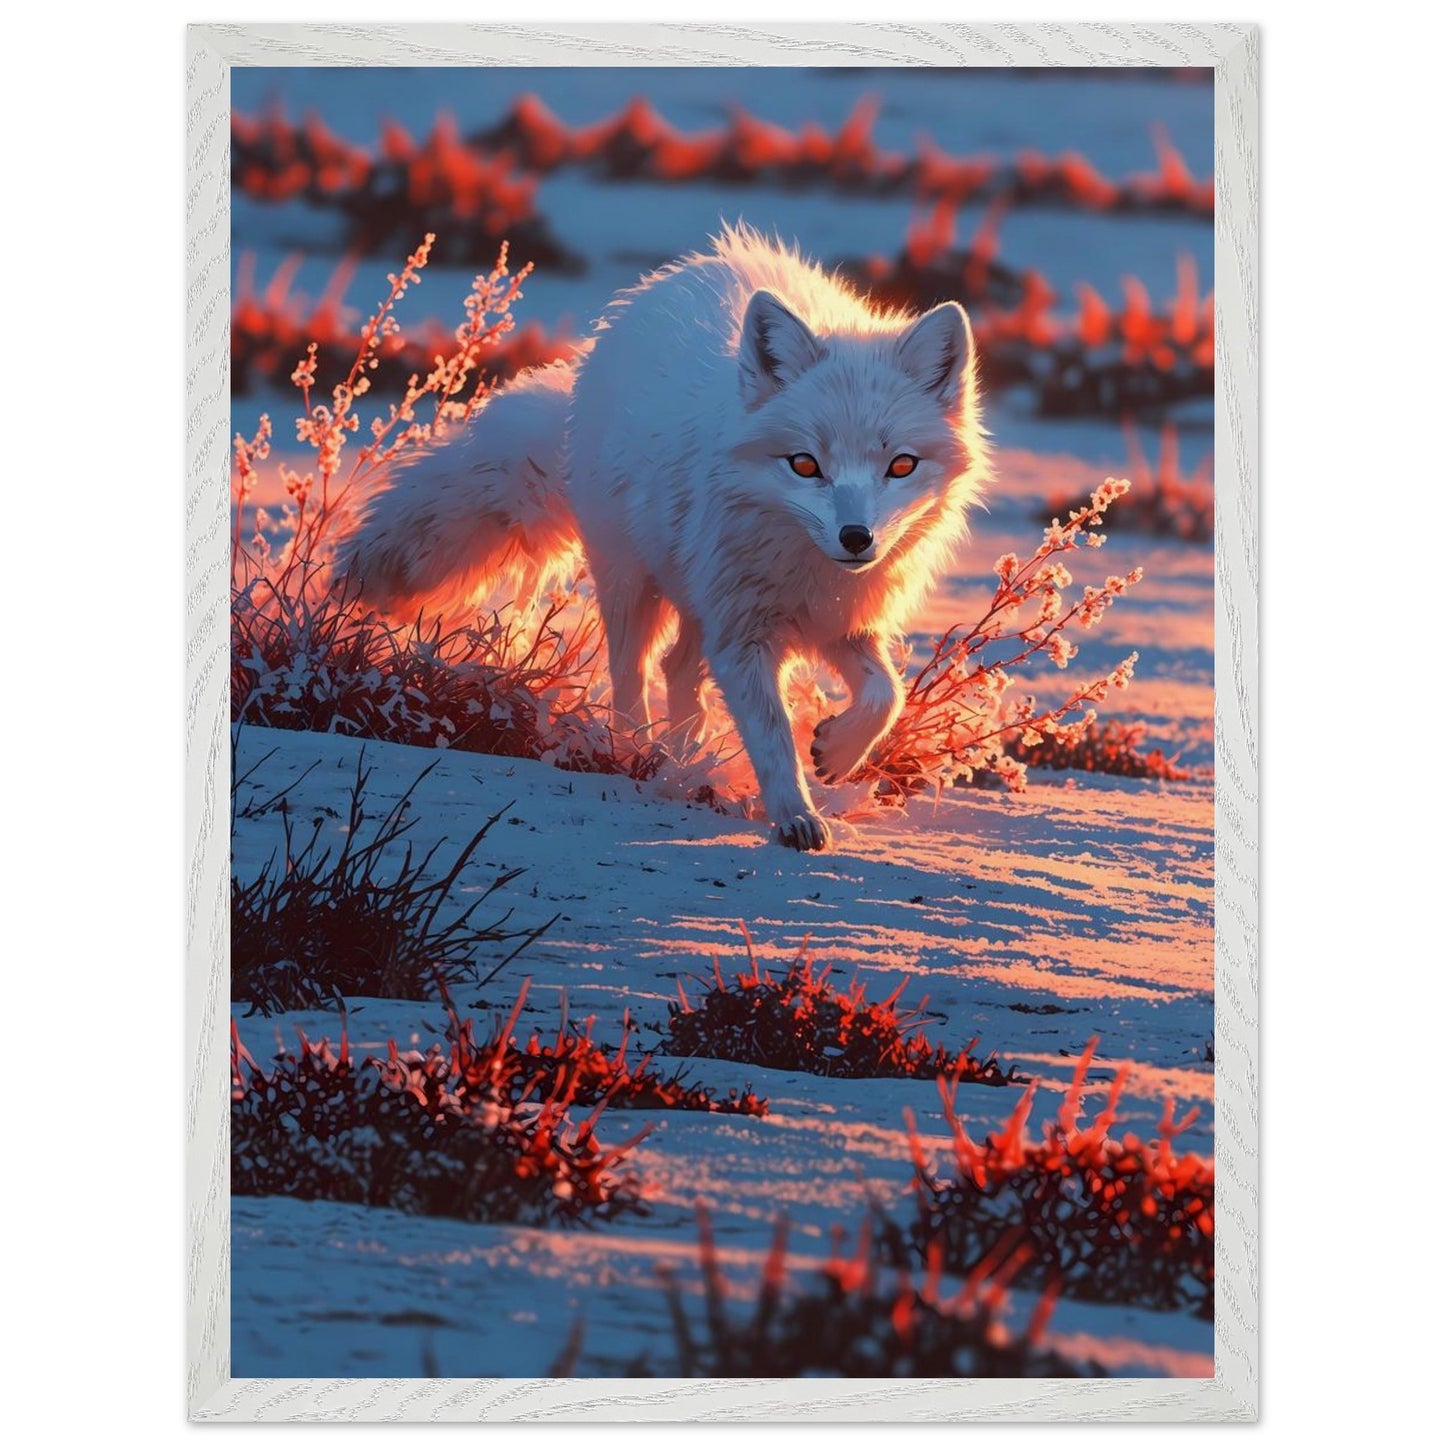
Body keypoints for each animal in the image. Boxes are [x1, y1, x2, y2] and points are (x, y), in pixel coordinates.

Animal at [344, 224, 989, 850]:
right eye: (805, 465)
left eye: (900, 466)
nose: (856, 538)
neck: (805, 567)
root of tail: (660, 287)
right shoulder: (743, 635)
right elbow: (773, 737)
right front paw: (795, 817)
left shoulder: (839, 620)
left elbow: (887, 694)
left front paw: (837, 750)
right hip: (634, 585)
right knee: (632, 675)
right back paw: (639, 754)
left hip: (696, 600)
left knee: (679, 672)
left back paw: (688, 760)